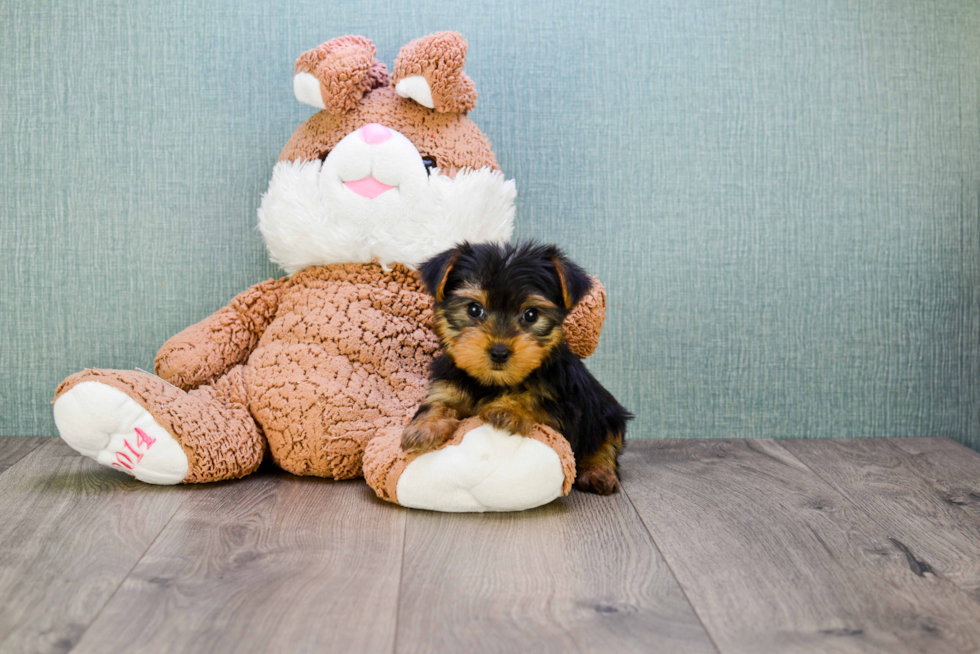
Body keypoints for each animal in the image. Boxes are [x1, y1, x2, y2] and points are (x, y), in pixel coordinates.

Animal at [400, 243, 636, 494]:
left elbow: (534, 398)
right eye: (474, 309)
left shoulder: (563, 404)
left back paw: (599, 473)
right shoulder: (447, 384)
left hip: (606, 412)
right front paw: (424, 428)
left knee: (605, 444)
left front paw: (508, 410)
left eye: (531, 314)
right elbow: (437, 404)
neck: (492, 382)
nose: (499, 352)